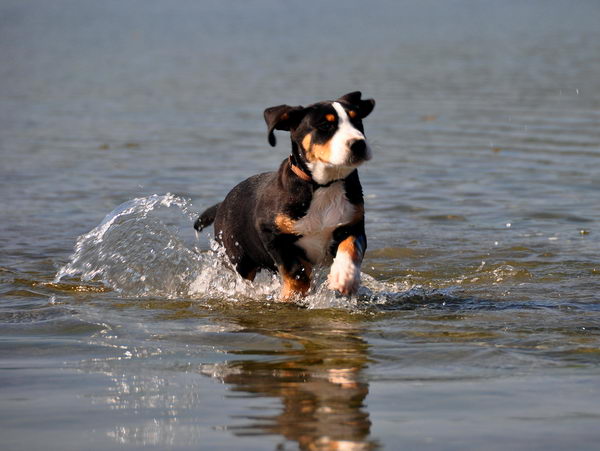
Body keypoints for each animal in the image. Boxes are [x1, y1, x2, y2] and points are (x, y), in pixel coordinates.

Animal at [196, 92, 376, 302]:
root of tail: (222, 204)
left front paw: (344, 277)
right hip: (238, 258)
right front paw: (291, 296)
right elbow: (296, 272)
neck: (323, 185)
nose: (359, 144)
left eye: (357, 121)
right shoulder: (271, 233)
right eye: (325, 125)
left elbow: (351, 248)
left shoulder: (353, 223)